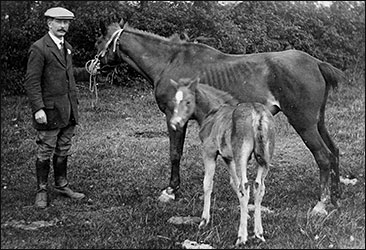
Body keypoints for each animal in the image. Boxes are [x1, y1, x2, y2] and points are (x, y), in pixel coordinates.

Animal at [94, 20, 346, 215]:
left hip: (304, 124)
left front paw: (171, 191)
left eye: (98, 42)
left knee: (323, 156)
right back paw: (335, 197)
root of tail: (316, 63)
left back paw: (321, 204)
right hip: (318, 122)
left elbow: (175, 154)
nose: (91, 65)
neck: (170, 63)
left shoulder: (174, 120)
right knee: (334, 151)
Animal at [169, 77, 274, 246]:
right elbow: (234, 183)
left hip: (241, 156)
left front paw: (204, 220)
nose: (175, 123)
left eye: (188, 101)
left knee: (245, 186)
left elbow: (208, 183)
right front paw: (246, 214)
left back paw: (241, 237)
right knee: (259, 187)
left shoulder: (209, 152)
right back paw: (259, 233)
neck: (213, 111)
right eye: (174, 100)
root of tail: (257, 113)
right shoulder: (227, 157)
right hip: (265, 157)